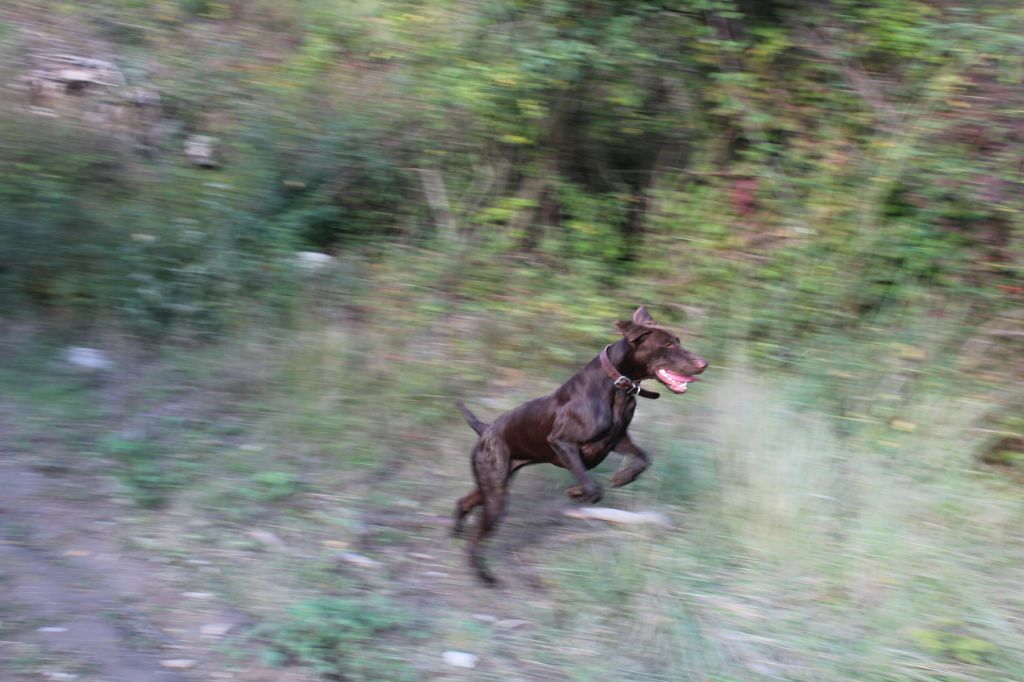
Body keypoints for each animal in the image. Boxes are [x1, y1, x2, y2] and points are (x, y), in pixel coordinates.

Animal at [454, 306, 708, 584]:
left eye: (678, 341)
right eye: (667, 344)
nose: (704, 364)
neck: (617, 387)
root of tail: (485, 429)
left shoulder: (617, 440)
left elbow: (643, 458)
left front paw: (622, 478)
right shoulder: (562, 443)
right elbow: (593, 487)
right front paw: (576, 492)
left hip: (494, 482)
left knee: (464, 502)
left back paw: (456, 533)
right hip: (496, 493)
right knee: (476, 538)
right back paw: (484, 576)